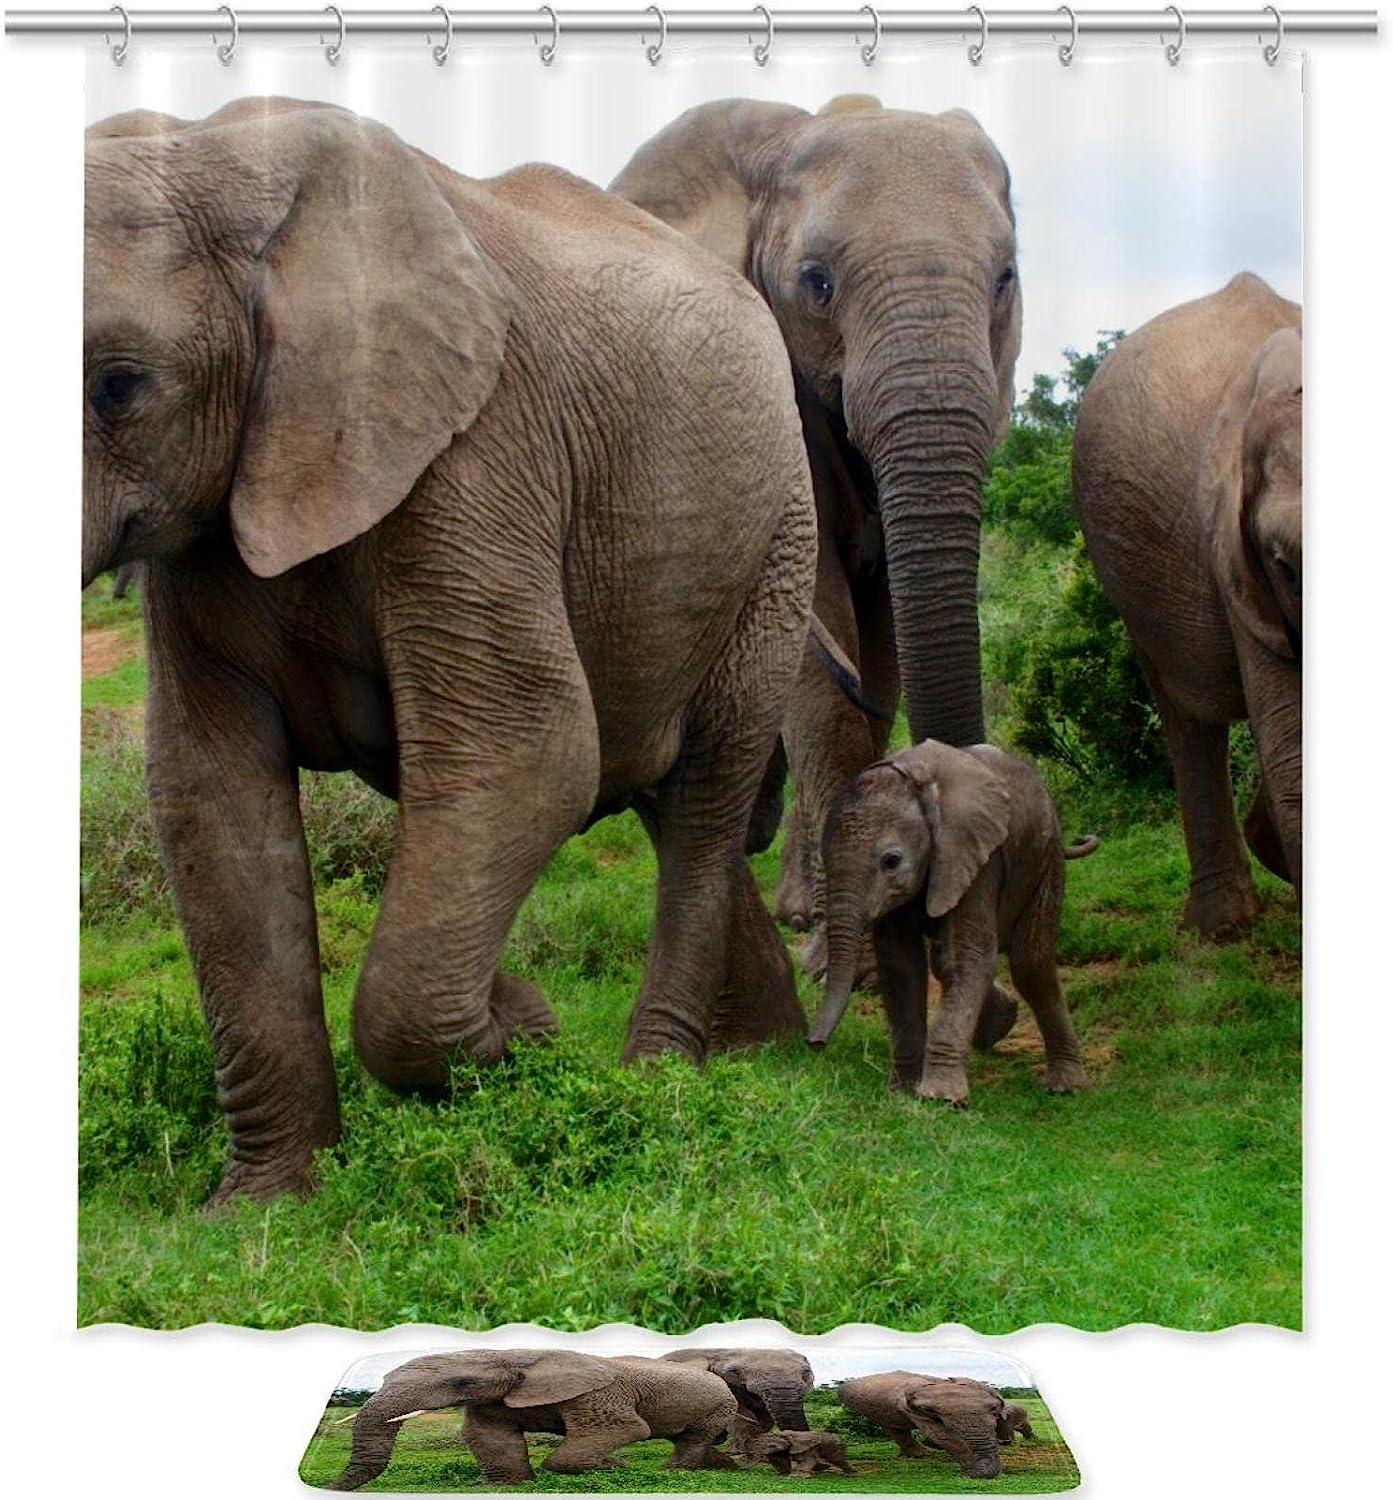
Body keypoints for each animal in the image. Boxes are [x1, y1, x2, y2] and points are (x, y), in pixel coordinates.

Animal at [83, 97, 817, 1204]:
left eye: (117, 387)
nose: (527, 1005)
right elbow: (209, 799)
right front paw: (261, 1208)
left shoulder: (480, 451)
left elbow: (530, 750)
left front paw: (526, 1024)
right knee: (665, 790)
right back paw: (762, 1049)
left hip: (778, 531)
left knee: (703, 789)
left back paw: (662, 1080)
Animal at [327, 1349, 740, 1490]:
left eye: (462, 1382)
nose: (329, 1487)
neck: (515, 1355)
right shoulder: (494, 1401)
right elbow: (487, 1436)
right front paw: (510, 1484)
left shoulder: (597, 1393)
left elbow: (627, 1428)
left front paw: (612, 1466)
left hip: (720, 1404)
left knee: (693, 1439)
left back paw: (673, 1473)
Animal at [808, 740, 1094, 1104]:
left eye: (892, 861)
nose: (814, 1044)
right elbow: (902, 965)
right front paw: (902, 1089)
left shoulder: (976, 856)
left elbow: (967, 957)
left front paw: (940, 1097)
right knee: (945, 963)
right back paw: (1001, 1025)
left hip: (1046, 856)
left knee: (1031, 964)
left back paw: (1066, 1086)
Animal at [837, 1372, 1015, 1480]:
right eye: (927, 1410)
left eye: (994, 1409)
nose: (987, 1474)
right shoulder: (910, 1411)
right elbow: (940, 1434)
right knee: (894, 1428)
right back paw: (920, 1454)